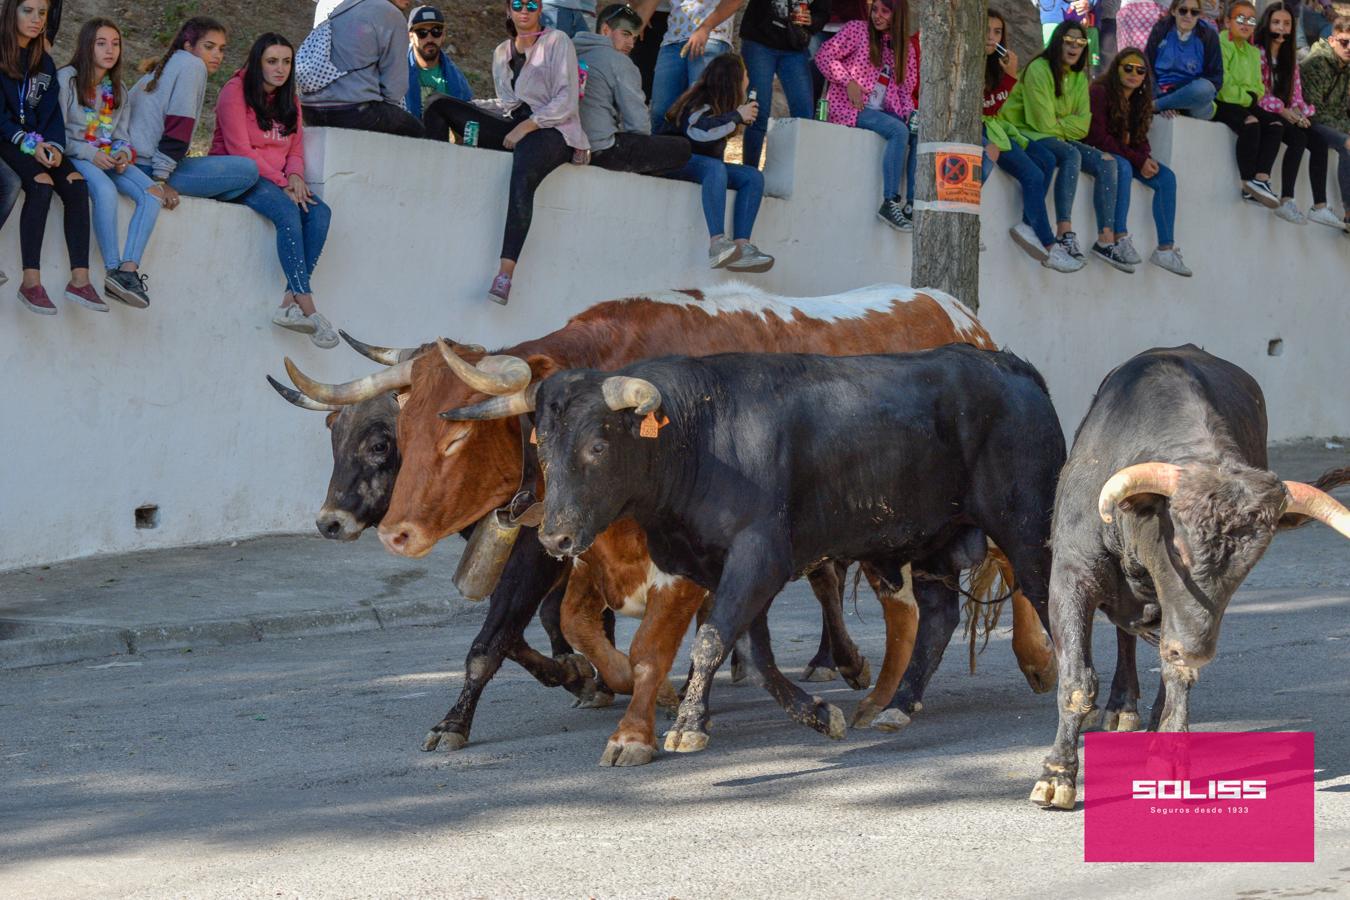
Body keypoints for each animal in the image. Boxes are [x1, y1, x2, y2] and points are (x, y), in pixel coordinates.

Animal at [531, 345, 1069, 755]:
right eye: (543, 450)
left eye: (597, 447)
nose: (555, 538)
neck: (700, 433)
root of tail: (1013, 368)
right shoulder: (716, 567)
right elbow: (751, 650)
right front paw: (817, 714)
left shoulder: (759, 557)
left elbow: (711, 639)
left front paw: (685, 726)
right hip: (936, 540)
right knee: (938, 617)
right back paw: (897, 705)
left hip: (1026, 526)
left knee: (1045, 595)